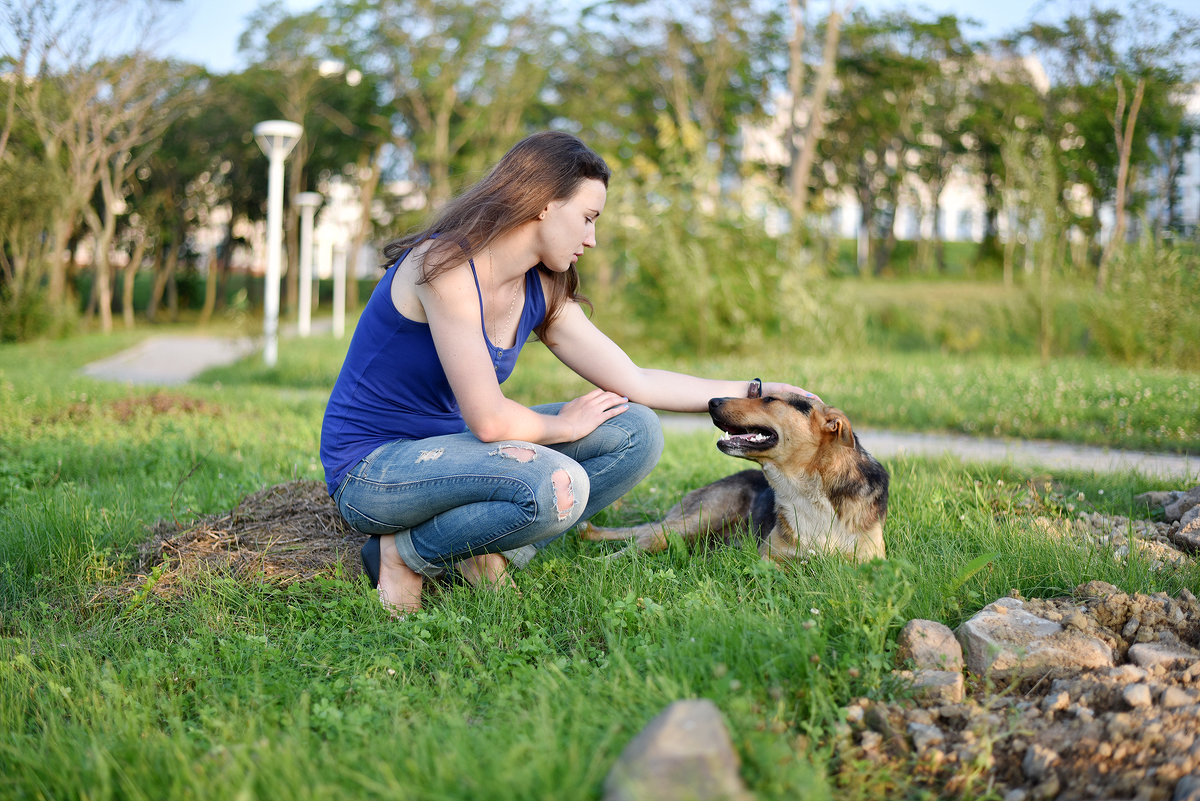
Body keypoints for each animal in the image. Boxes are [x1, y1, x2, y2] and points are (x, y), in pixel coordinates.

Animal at [580, 393, 892, 563]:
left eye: (769, 398)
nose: (711, 400)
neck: (806, 489)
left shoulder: (868, 562)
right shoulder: (769, 558)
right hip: (702, 516)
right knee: (649, 537)